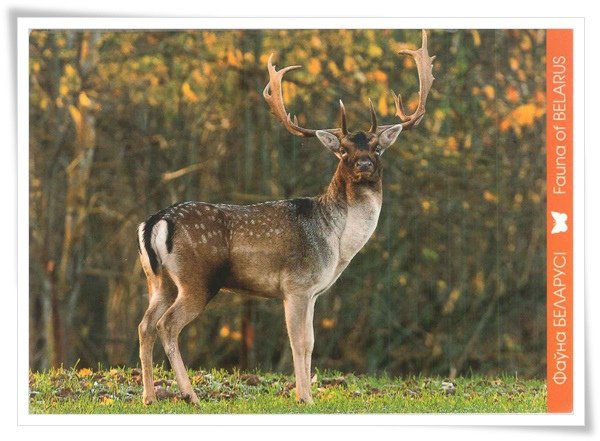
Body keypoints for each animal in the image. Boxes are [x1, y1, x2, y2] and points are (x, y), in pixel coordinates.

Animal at [137, 29, 436, 404]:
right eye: (343, 151)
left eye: (377, 147)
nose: (365, 164)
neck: (337, 243)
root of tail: (155, 221)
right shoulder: (297, 285)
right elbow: (301, 342)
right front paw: (304, 397)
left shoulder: (313, 292)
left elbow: (310, 342)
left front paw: (307, 394)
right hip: (197, 279)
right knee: (167, 325)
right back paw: (190, 394)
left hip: (157, 279)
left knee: (145, 325)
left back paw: (149, 396)